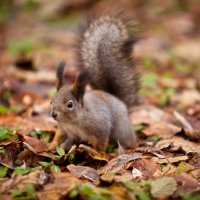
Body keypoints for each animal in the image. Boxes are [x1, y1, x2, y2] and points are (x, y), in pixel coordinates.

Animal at [50, 10, 140, 152]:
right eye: (51, 100)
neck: (73, 122)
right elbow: (64, 138)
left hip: (121, 129)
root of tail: (118, 100)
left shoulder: (101, 127)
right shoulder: (68, 131)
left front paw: (99, 153)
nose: (54, 114)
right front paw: (56, 146)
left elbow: (101, 142)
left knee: (128, 139)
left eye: (70, 104)